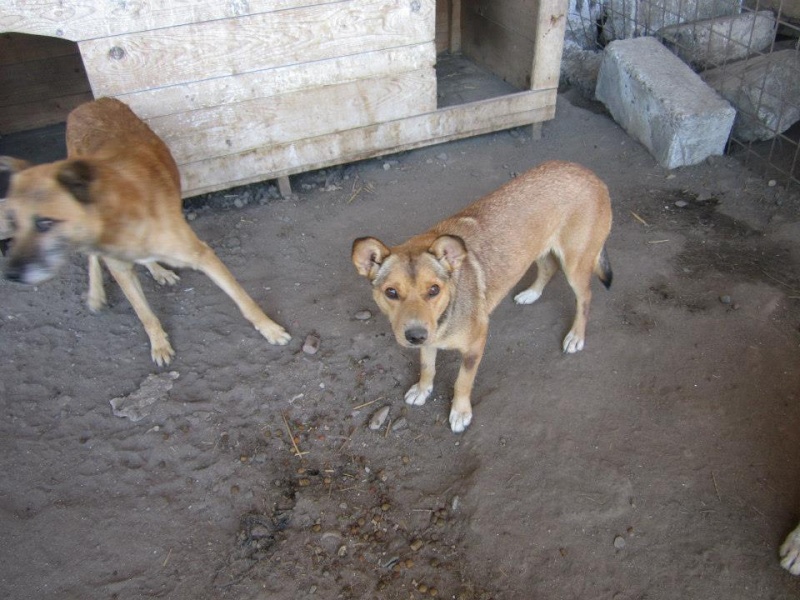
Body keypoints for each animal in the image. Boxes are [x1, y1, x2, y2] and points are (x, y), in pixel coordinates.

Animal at [2, 97, 290, 366]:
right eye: (12, 221)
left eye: (44, 223)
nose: (11, 275)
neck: (117, 219)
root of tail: (89, 103)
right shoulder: (119, 268)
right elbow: (144, 314)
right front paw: (159, 344)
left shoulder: (201, 254)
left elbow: (243, 299)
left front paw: (269, 329)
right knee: (94, 257)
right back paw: (97, 293)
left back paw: (157, 270)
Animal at [352, 159, 612, 432]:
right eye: (391, 292)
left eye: (434, 289)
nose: (415, 336)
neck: (448, 310)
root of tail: (588, 173)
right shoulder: (429, 337)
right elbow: (427, 366)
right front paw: (423, 389)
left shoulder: (475, 344)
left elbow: (462, 382)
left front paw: (460, 412)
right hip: (536, 249)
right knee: (548, 267)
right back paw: (531, 293)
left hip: (576, 264)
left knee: (585, 297)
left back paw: (576, 336)